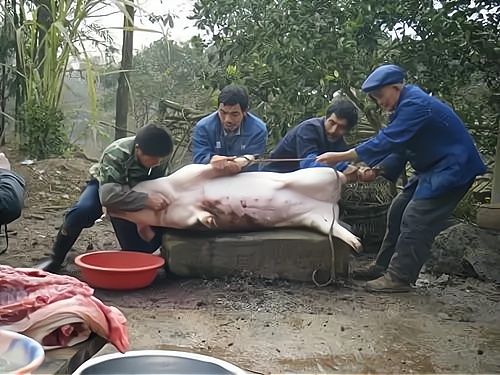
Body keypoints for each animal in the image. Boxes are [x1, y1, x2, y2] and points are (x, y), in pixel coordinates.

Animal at [106, 156, 364, 253]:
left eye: (131, 187)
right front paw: (211, 221)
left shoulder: (191, 173)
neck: (171, 198)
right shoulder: (181, 216)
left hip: (315, 175)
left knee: (340, 176)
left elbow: (215, 167)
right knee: (335, 228)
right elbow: (197, 216)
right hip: (316, 219)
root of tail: (332, 203)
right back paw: (357, 245)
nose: (108, 206)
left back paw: (361, 171)